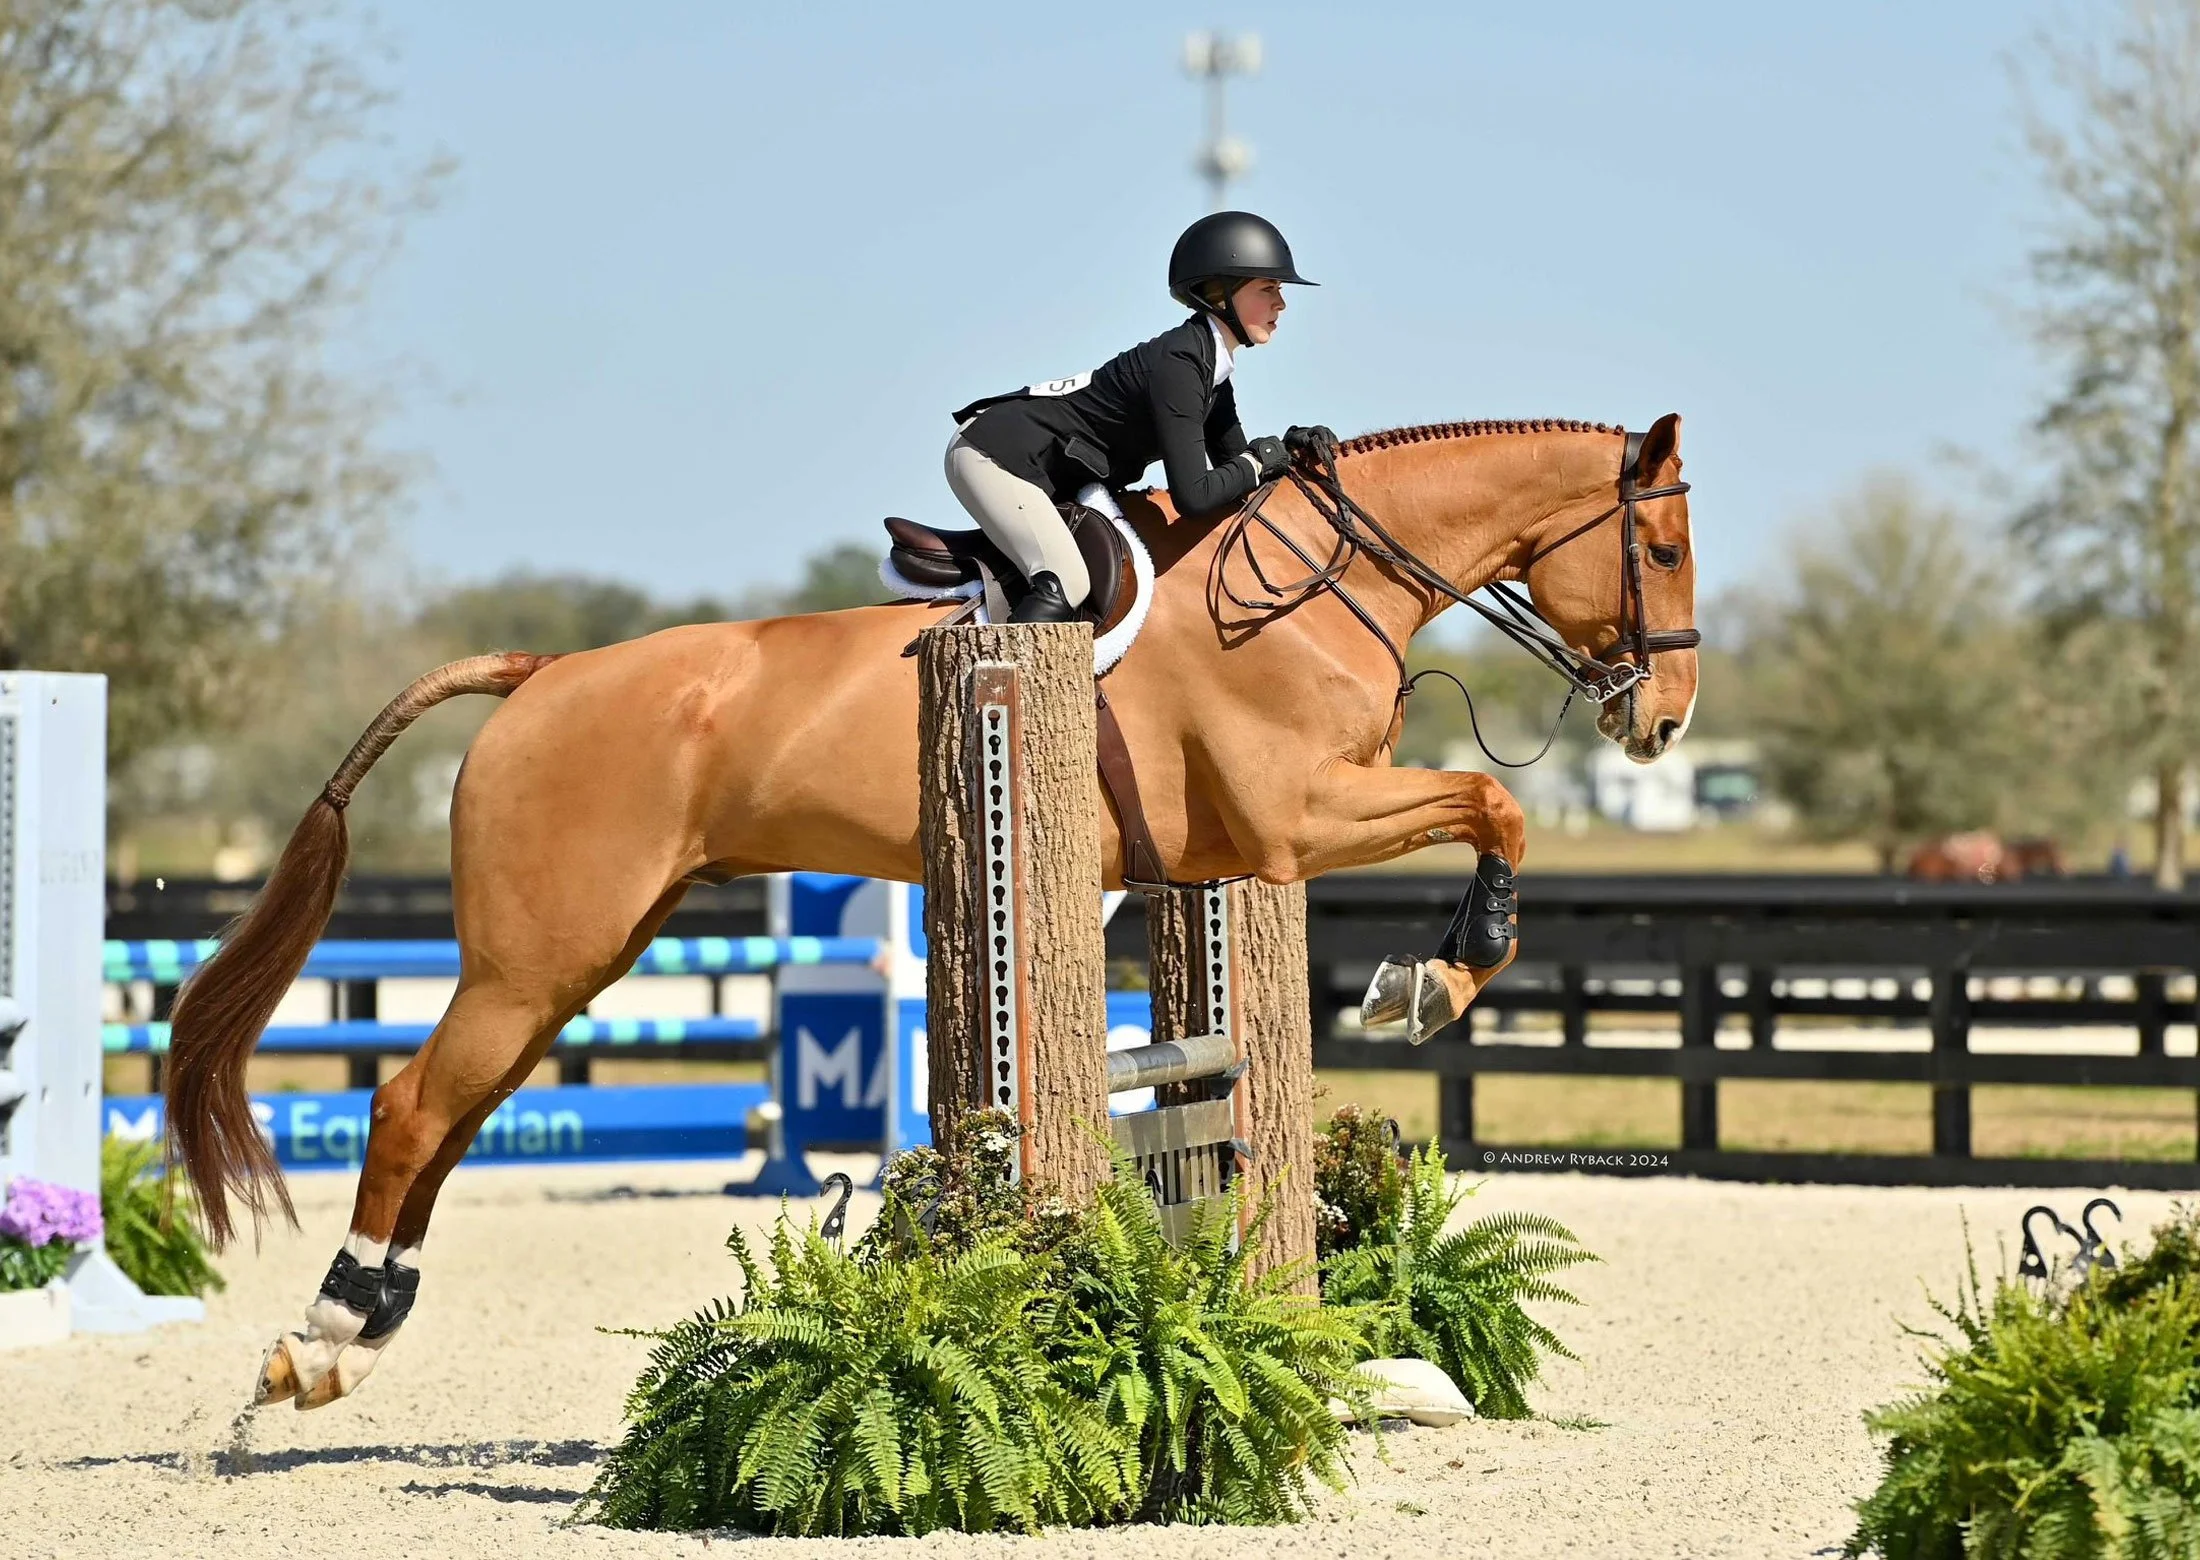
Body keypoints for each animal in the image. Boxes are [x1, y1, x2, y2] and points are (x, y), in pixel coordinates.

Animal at [164, 413, 1700, 1409]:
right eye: (1668, 550)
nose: (1666, 722)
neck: (1317, 583)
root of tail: (544, 675)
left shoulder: (1255, 842)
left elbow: (1478, 815)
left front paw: (1422, 979)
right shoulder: (1292, 819)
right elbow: (1491, 807)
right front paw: (1431, 981)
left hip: (577, 960)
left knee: (455, 1113)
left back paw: (357, 1337)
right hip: (537, 959)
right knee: (412, 1105)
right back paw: (324, 1333)